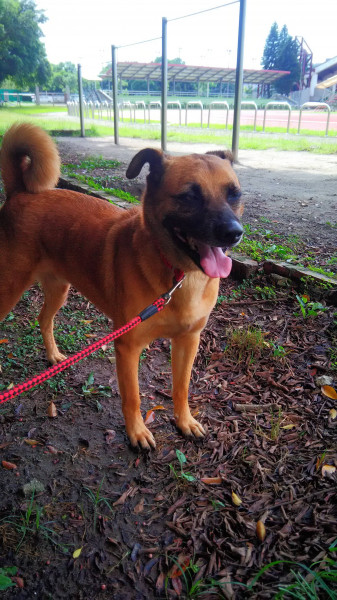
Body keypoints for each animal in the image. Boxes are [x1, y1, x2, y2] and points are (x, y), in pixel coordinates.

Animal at [0, 124, 243, 448]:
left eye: (234, 194)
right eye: (189, 196)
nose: (233, 233)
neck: (178, 277)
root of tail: (19, 192)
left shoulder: (188, 341)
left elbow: (181, 388)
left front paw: (184, 421)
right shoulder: (127, 347)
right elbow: (133, 397)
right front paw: (137, 432)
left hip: (59, 289)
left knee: (43, 319)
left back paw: (53, 355)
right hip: (9, 289)